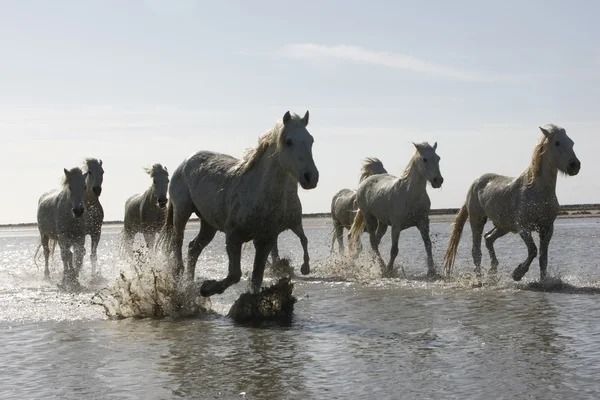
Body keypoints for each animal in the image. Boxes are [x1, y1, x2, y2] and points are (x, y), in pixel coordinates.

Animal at [158, 111, 318, 296]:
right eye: (289, 141)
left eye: (311, 140)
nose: (311, 177)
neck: (258, 192)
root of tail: (184, 162)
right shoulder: (233, 237)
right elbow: (235, 274)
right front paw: (207, 288)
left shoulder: (265, 241)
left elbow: (256, 279)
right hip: (182, 211)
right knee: (178, 242)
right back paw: (180, 277)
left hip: (208, 224)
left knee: (193, 249)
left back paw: (189, 285)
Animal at [350, 144, 442, 278]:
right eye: (424, 159)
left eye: (438, 158)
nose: (438, 180)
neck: (411, 195)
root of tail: (368, 180)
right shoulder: (396, 226)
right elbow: (394, 250)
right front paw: (389, 270)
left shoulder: (423, 223)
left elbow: (428, 246)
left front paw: (432, 272)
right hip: (369, 218)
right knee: (373, 242)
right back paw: (382, 267)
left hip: (382, 224)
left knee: (376, 241)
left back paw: (374, 265)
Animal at [442, 125, 580, 282]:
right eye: (557, 143)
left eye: (571, 143)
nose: (575, 165)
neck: (539, 191)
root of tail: (475, 183)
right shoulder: (523, 227)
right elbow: (533, 251)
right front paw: (517, 273)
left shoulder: (547, 228)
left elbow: (543, 258)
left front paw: (543, 281)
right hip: (477, 221)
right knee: (476, 251)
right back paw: (480, 278)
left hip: (503, 226)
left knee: (488, 238)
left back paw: (493, 271)